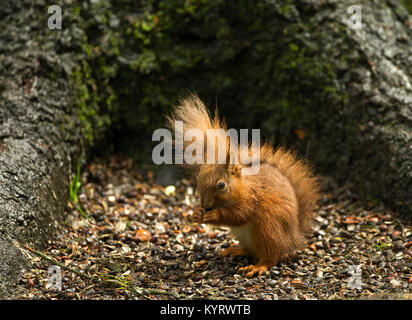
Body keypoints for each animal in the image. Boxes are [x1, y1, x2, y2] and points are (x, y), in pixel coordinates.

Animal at [166, 94, 320, 276]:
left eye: (221, 185)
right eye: (199, 180)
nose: (205, 205)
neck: (240, 188)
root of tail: (293, 238)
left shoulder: (251, 197)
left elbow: (239, 214)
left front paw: (214, 215)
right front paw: (196, 214)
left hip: (268, 229)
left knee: (271, 257)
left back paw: (257, 267)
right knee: (251, 251)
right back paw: (234, 250)